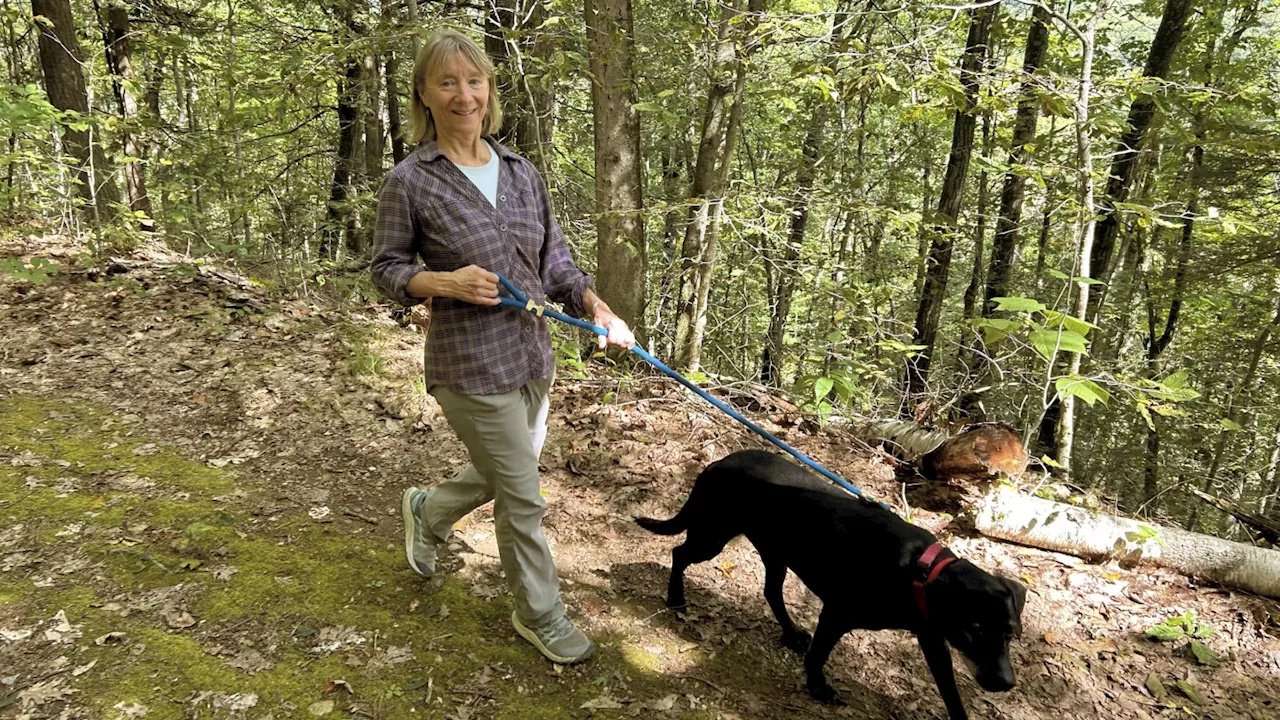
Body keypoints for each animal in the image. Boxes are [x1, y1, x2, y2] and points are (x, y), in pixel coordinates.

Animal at [634, 450, 1024, 712]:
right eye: (975, 629)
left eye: (1010, 633)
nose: (1006, 683)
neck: (918, 572)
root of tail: (717, 463)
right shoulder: (837, 614)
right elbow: (818, 655)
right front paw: (818, 688)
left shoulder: (933, 639)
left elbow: (951, 693)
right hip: (713, 536)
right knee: (679, 553)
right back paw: (676, 598)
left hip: (776, 552)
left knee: (771, 592)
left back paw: (791, 633)